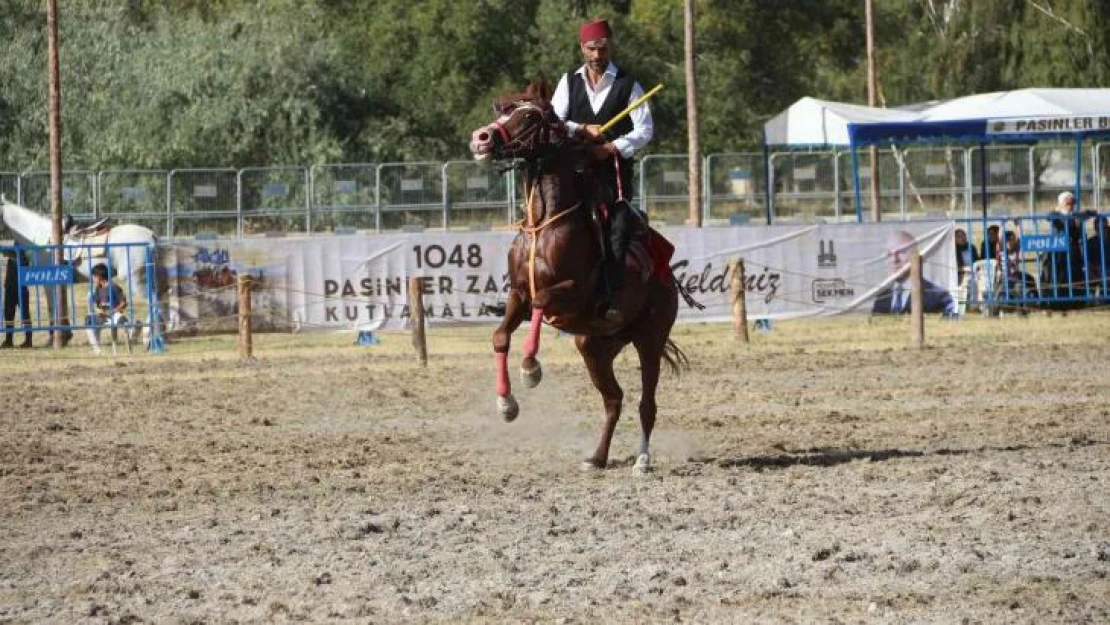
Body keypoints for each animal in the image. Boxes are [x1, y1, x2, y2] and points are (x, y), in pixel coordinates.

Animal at [1, 195, 162, 346]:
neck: (40, 236)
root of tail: (151, 235)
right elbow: (61, 307)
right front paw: (65, 336)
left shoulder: (50, 282)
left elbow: (52, 307)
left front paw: (54, 338)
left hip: (136, 279)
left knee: (153, 300)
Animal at [466, 82, 688, 475]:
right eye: (502, 108)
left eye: (529, 115)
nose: (481, 138)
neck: (544, 224)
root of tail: (667, 278)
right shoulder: (518, 296)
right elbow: (500, 336)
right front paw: (506, 404)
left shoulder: (573, 294)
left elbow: (543, 301)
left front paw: (530, 368)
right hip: (595, 345)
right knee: (614, 399)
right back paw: (597, 457)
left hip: (649, 338)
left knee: (646, 403)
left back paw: (642, 460)